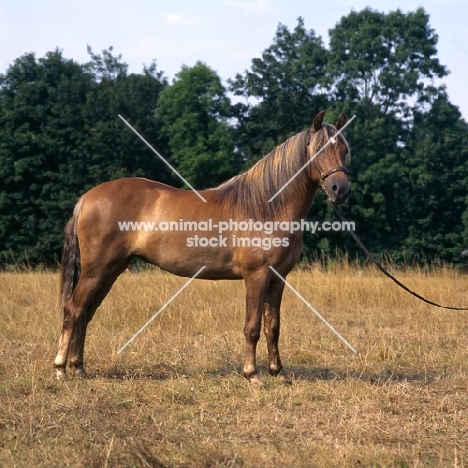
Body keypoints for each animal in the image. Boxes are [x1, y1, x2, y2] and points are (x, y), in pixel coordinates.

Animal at [54, 109, 352, 384]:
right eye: (319, 148)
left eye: (345, 150)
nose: (340, 190)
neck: (266, 208)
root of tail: (87, 197)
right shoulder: (256, 276)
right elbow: (252, 326)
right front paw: (252, 374)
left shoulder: (278, 280)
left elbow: (273, 327)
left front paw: (278, 373)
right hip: (96, 271)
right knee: (73, 310)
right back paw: (60, 369)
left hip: (110, 271)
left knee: (85, 314)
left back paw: (79, 368)